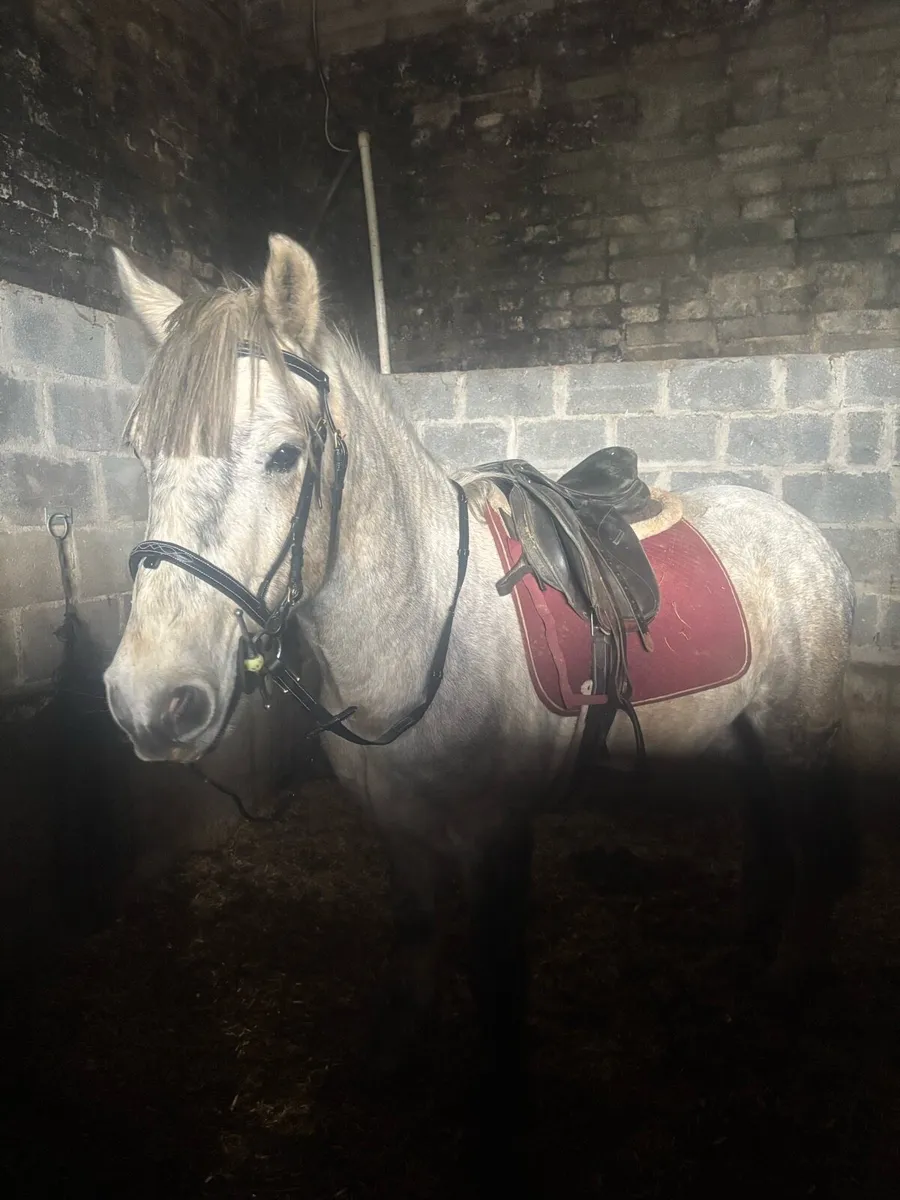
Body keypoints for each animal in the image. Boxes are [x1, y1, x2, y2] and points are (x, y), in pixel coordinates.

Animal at [103, 234, 857, 1118]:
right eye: (142, 453)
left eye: (284, 455)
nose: (150, 701)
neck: (420, 621)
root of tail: (810, 539)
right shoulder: (394, 824)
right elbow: (416, 932)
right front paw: (396, 1053)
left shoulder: (499, 833)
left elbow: (496, 973)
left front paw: (498, 1101)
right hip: (746, 734)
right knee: (767, 833)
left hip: (801, 735)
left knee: (813, 847)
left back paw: (787, 978)